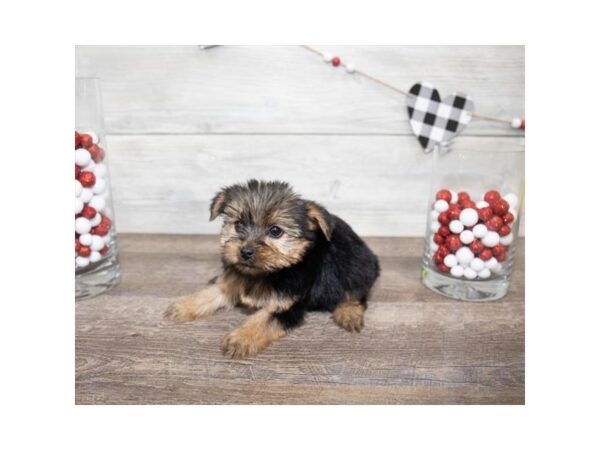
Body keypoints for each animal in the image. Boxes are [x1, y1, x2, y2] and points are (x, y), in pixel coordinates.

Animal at [164, 179, 380, 358]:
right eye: (239, 225)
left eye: (275, 231)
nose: (245, 252)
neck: (265, 273)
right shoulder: (234, 279)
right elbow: (214, 291)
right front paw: (183, 306)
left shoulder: (287, 305)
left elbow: (263, 320)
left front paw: (240, 339)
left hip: (354, 265)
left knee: (356, 291)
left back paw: (348, 313)